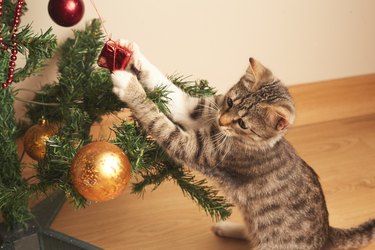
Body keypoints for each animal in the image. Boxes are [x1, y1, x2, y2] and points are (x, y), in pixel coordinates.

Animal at [111, 40, 375, 249]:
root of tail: (328, 234)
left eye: (243, 124)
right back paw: (228, 228)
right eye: (229, 101)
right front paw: (135, 55)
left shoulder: (198, 150)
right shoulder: (200, 109)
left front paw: (130, 86)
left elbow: (158, 120)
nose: (221, 121)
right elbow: (170, 89)